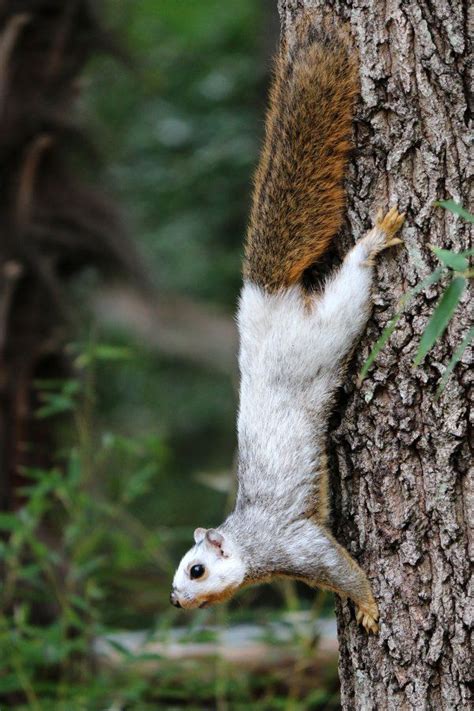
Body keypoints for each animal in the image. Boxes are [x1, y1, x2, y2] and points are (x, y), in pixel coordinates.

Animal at [170, 11, 404, 636]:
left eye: (197, 569)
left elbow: (343, 569)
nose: (175, 600)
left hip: (331, 324)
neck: (254, 546)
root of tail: (262, 303)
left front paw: (369, 607)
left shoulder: (297, 543)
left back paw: (375, 239)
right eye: (178, 573)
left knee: (352, 280)